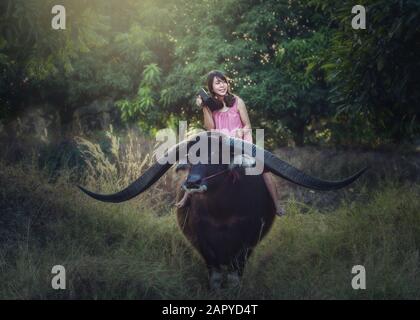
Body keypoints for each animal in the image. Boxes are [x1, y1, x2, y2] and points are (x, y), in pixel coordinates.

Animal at [79, 131, 368, 290]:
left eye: (218, 156)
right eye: (191, 157)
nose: (192, 183)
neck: (222, 214)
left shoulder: (247, 244)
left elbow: (235, 276)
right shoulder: (203, 244)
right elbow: (216, 276)